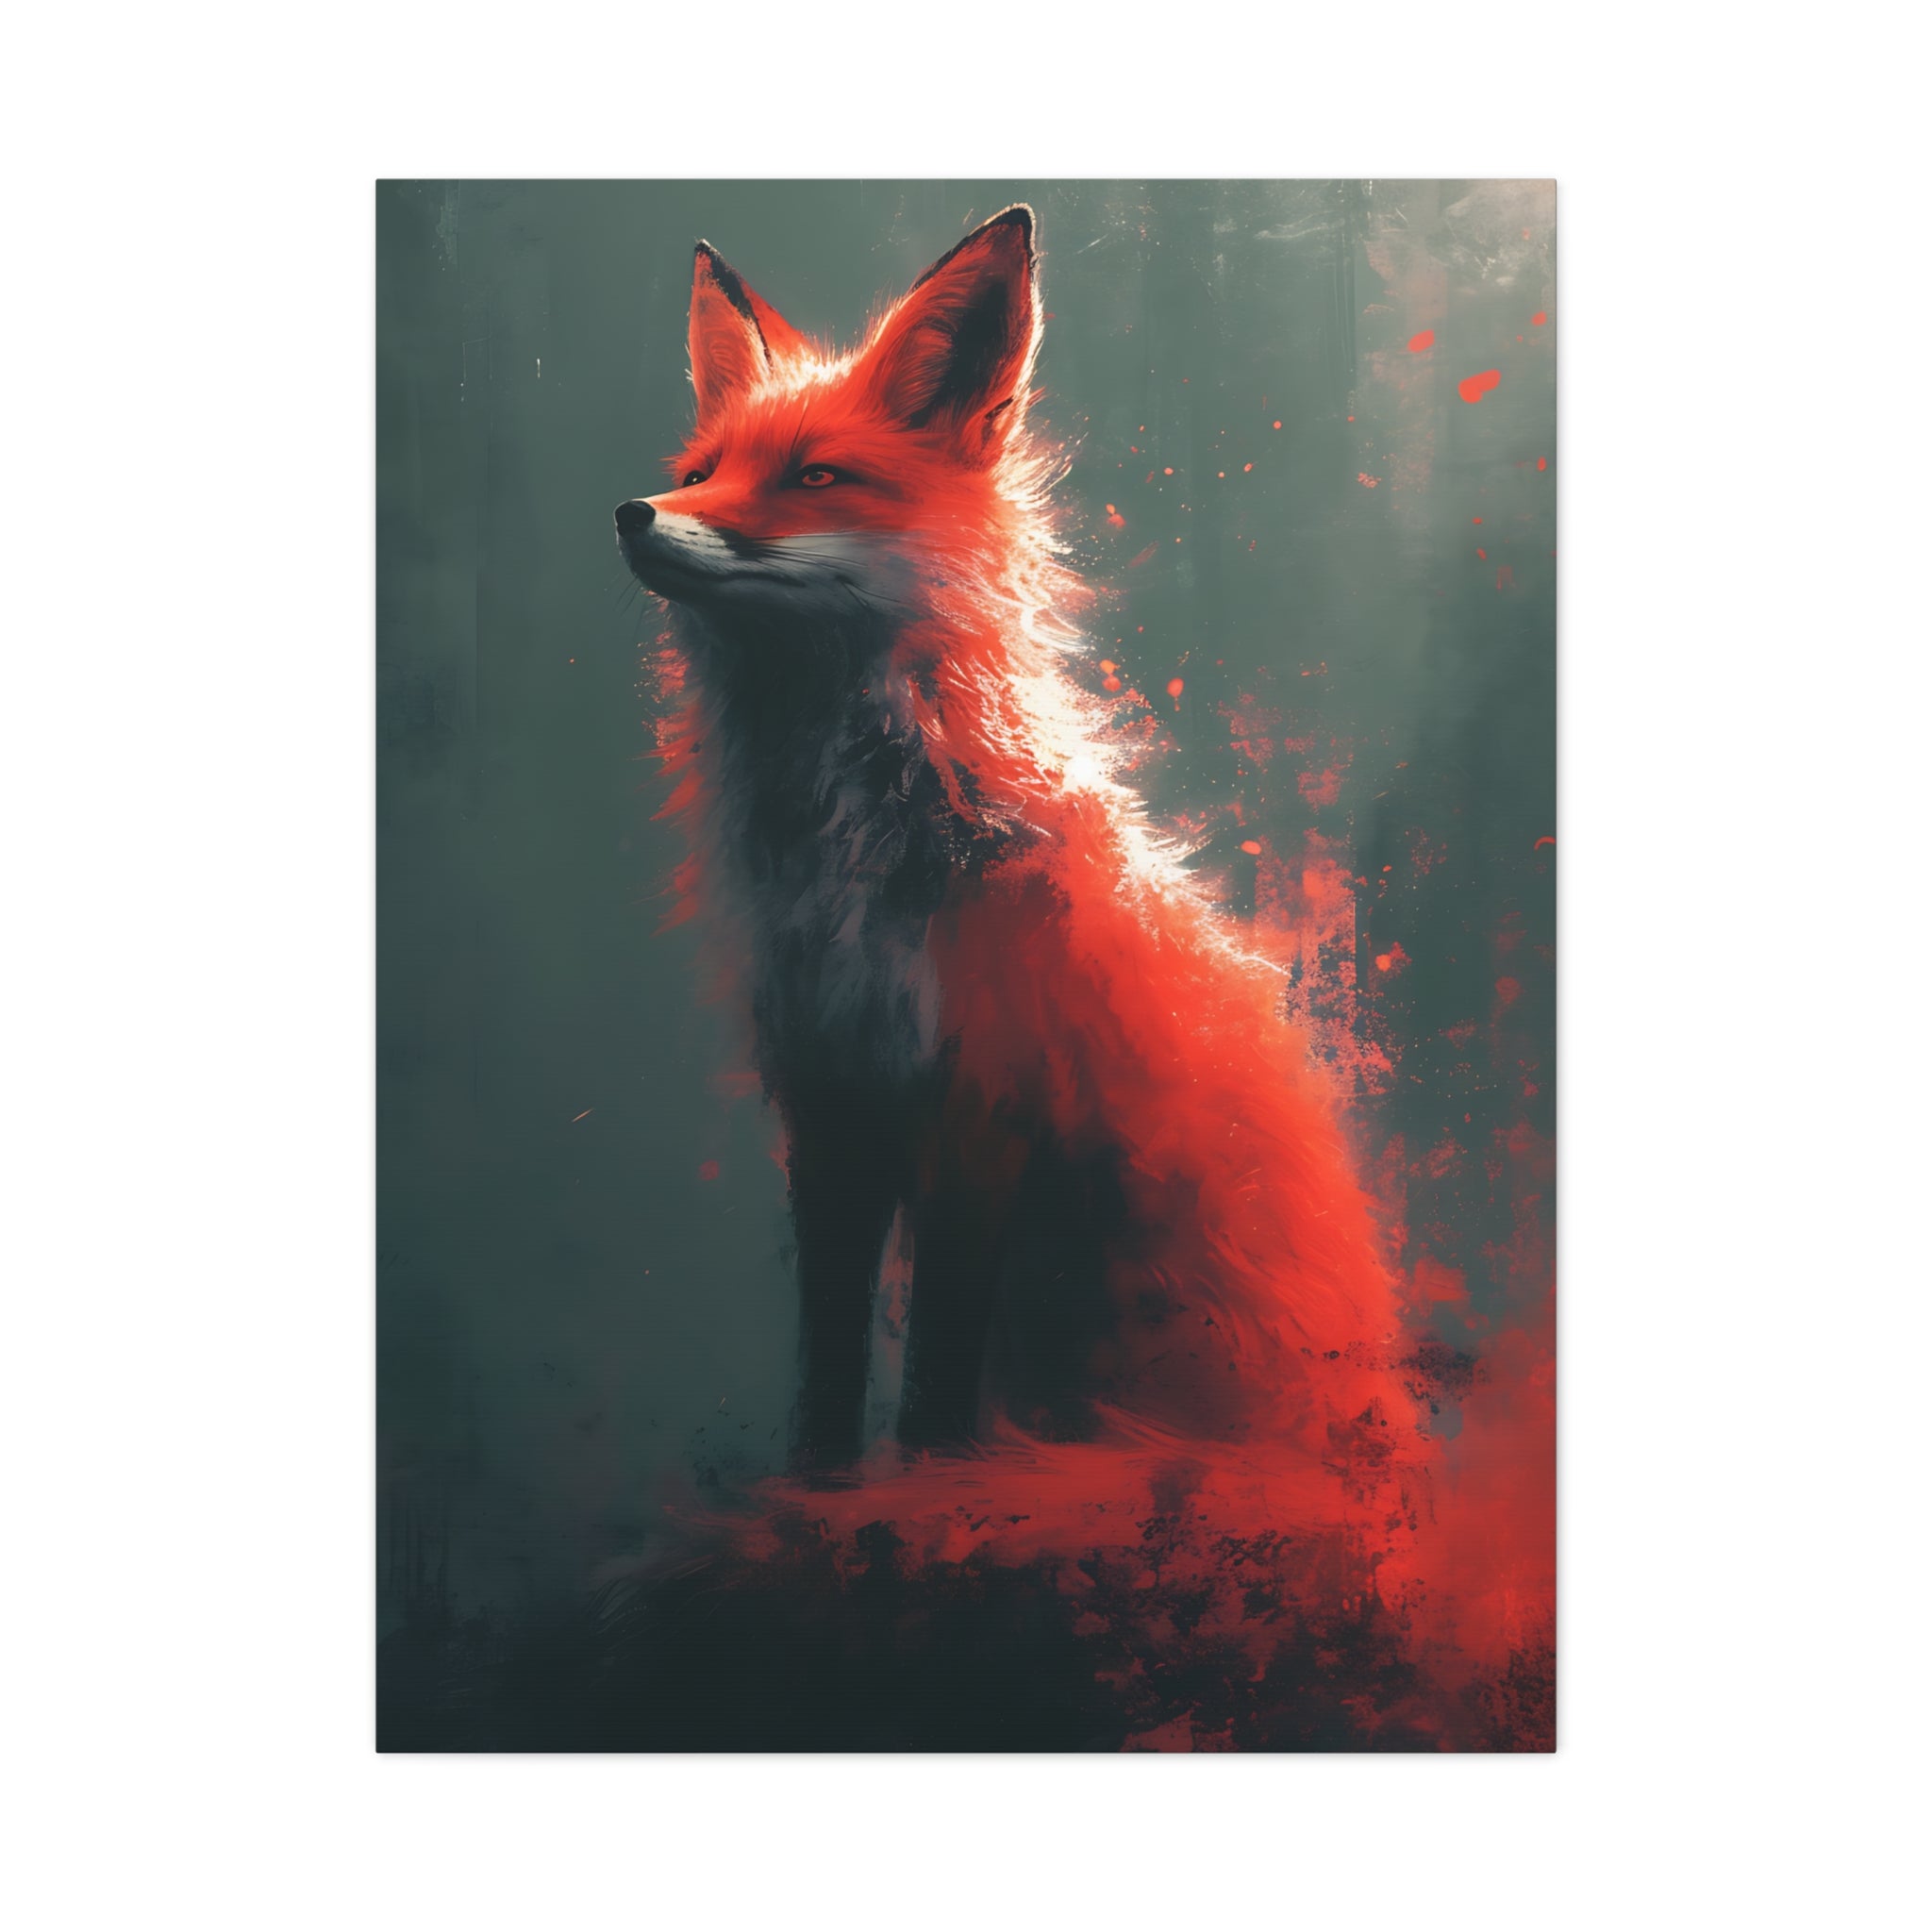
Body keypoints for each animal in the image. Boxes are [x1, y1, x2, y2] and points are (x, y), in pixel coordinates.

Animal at [616, 207, 1420, 1483]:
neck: (854, 856)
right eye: (701, 473)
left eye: (814, 476)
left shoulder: (983, 1100)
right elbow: (827, 1349)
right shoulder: (828, 1096)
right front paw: (819, 1483)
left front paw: (930, 1479)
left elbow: (939, 1358)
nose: (634, 513)